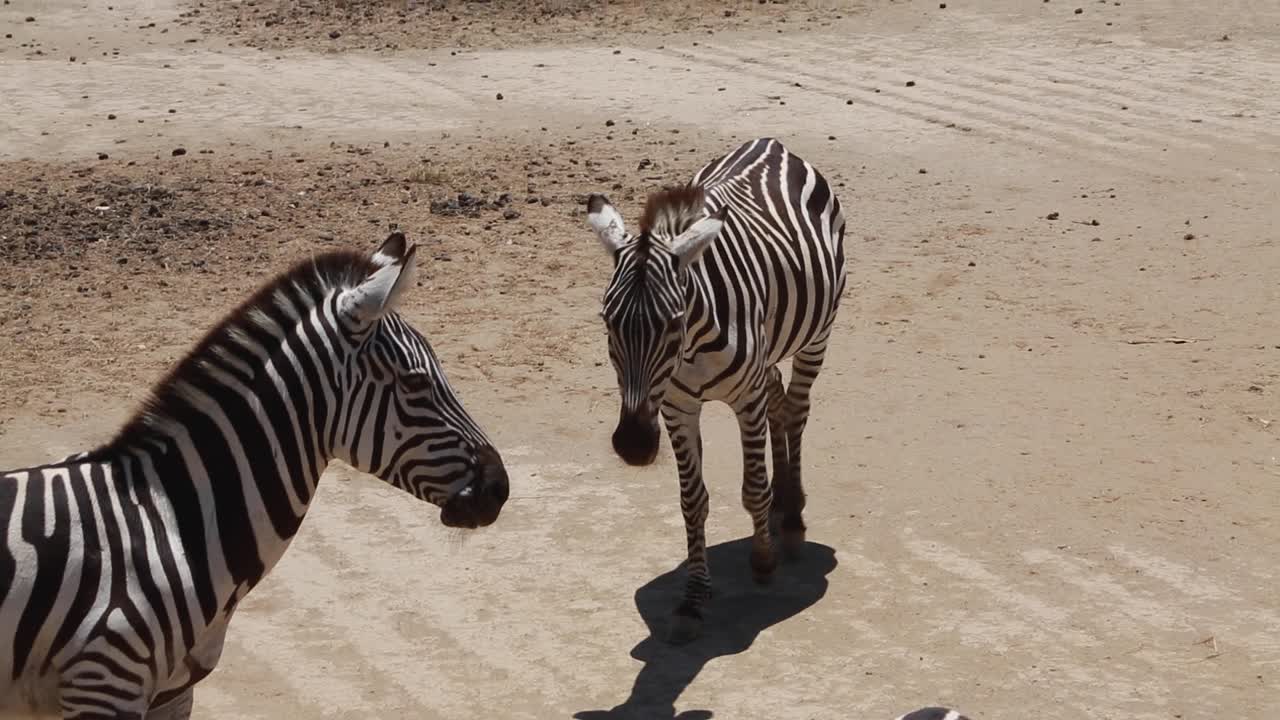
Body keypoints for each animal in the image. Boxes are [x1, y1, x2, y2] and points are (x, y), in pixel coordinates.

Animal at [585, 137, 846, 643]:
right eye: (607, 321)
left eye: (673, 323)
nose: (633, 445)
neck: (691, 344)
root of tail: (770, 143)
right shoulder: (676, 407)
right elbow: (693, 501)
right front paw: (692, 600)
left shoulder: (745, 400)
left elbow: (752, 488)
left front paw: (763, 561)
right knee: (779, 399)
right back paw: (784, 508)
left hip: (817, 335)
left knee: (796, 409)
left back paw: (791, 519)